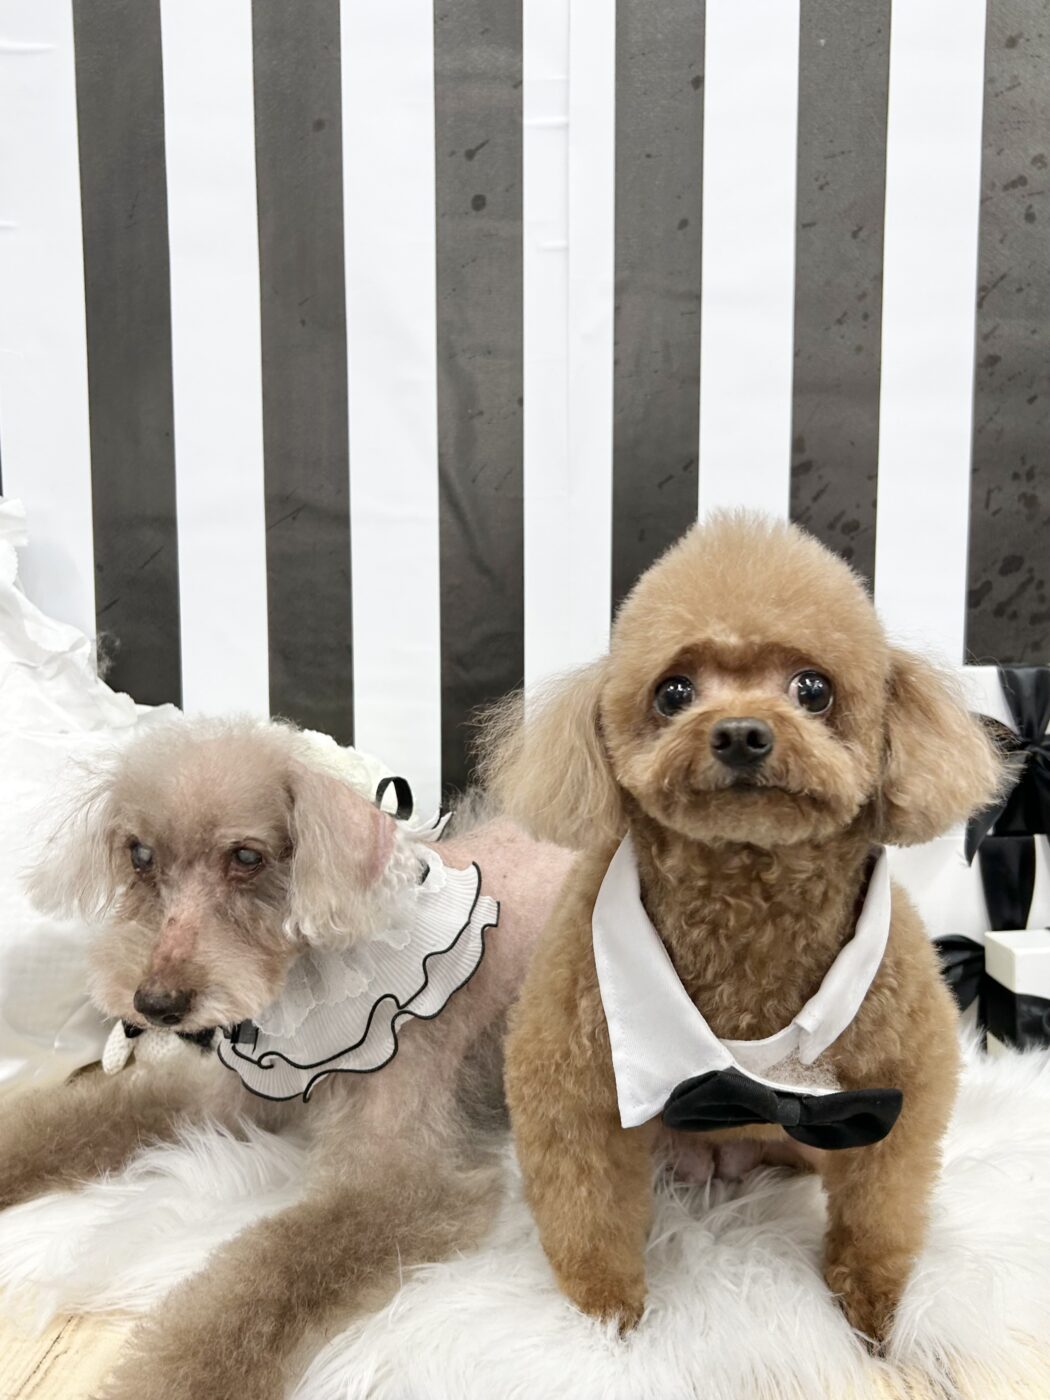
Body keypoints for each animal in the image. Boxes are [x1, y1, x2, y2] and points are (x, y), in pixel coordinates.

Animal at [0, 717, 572, 1400]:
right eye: (139, 855)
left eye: (247, 857)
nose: (157, 1004)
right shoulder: (220, 1097)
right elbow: (76, 1120)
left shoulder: (402, 1184)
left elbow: (272, 1274)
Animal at [480, 512, 1005, 1346]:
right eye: (673, 692)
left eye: (813, 688)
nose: (739, 734)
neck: (749, 901)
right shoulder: (571, 1079)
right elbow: (589, 1214)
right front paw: (604, 1327)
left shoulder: (900, 1081)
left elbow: (880, 1213)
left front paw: (875, 1319)